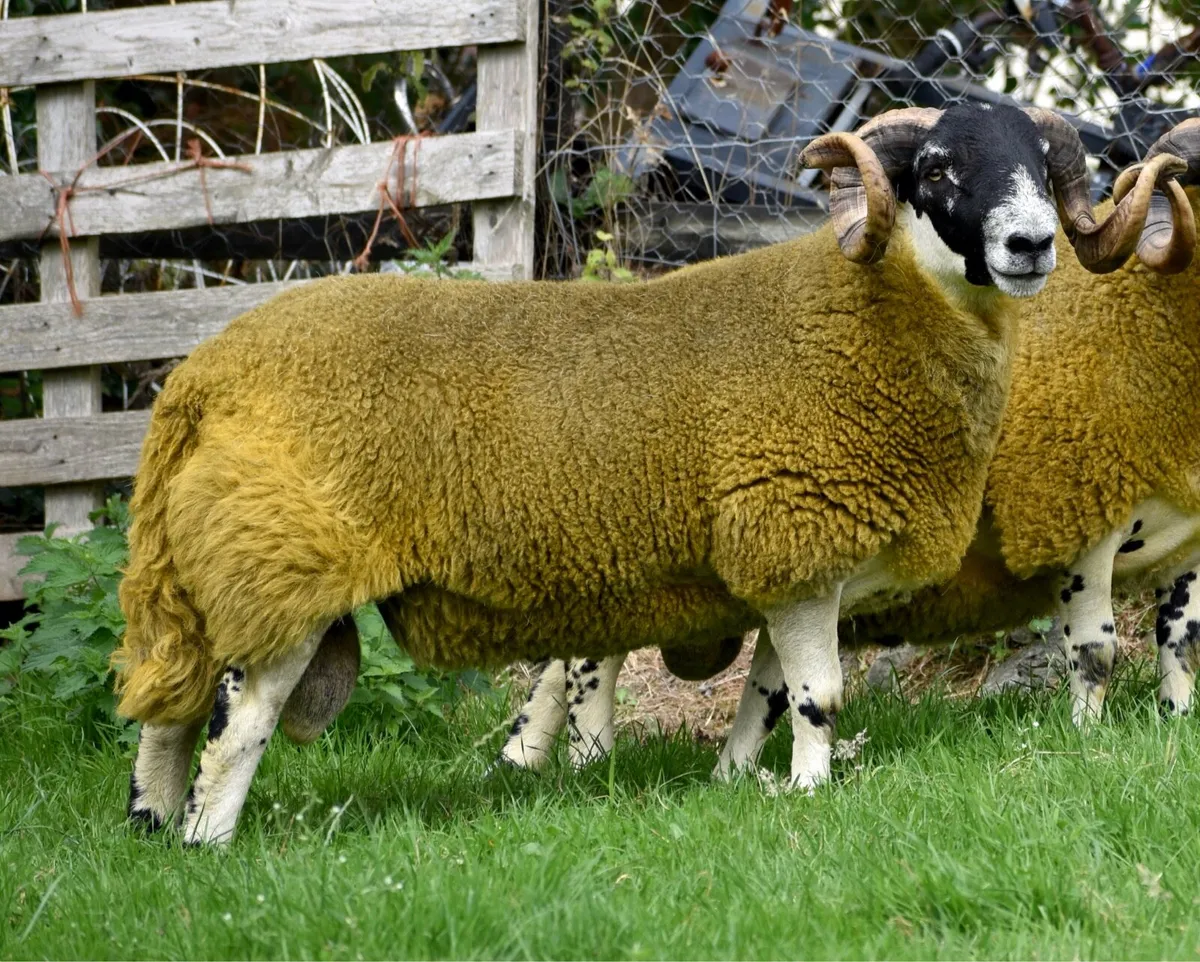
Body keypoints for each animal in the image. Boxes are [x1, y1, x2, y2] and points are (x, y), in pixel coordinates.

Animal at [113, 103, 1177, 845]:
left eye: (1043, 167)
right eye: (940, 168)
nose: (1031, 244)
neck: (871, 317)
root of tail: (200, 377)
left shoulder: (782, 570)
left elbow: (764, 693)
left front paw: (741, 782)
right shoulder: (798, 541)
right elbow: (819, 697)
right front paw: (814, 792)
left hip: (205, 569)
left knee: (169, 713)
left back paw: (151, 829)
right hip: (281, 560)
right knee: (237, 720)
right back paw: (209, 842)